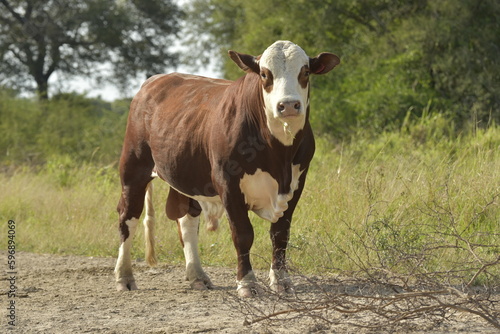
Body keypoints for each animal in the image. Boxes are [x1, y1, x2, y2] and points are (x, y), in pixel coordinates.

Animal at [114, 40, 340, 296]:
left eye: (305, 72)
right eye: (264, 74)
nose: (289, 105)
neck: (278, 153)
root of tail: (154, 81)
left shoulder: (296, 183)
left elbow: (280, 233)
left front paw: (281, 280)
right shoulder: (228, 183)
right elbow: (243, 234)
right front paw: (247, 283)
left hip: (188, 175)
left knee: (187, 221)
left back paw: (198, 276)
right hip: (134, 169)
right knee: (128, 217)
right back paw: (124, 276)